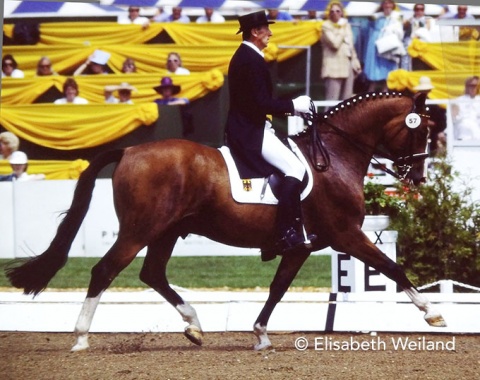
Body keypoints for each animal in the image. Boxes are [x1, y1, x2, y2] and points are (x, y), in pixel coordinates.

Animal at [5, 91, 446, 350]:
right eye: (421, 130)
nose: (418, 177)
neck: (333, 157)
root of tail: (130, 150)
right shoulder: (346, 235)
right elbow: (391, 267)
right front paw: (432, 313)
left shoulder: (302, 246)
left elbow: (278, 288)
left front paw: (261, 334)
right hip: (140, 229)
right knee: (106, 270)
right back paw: (80, 337)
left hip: (166, 231)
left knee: (152, 273)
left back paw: (194, 325)